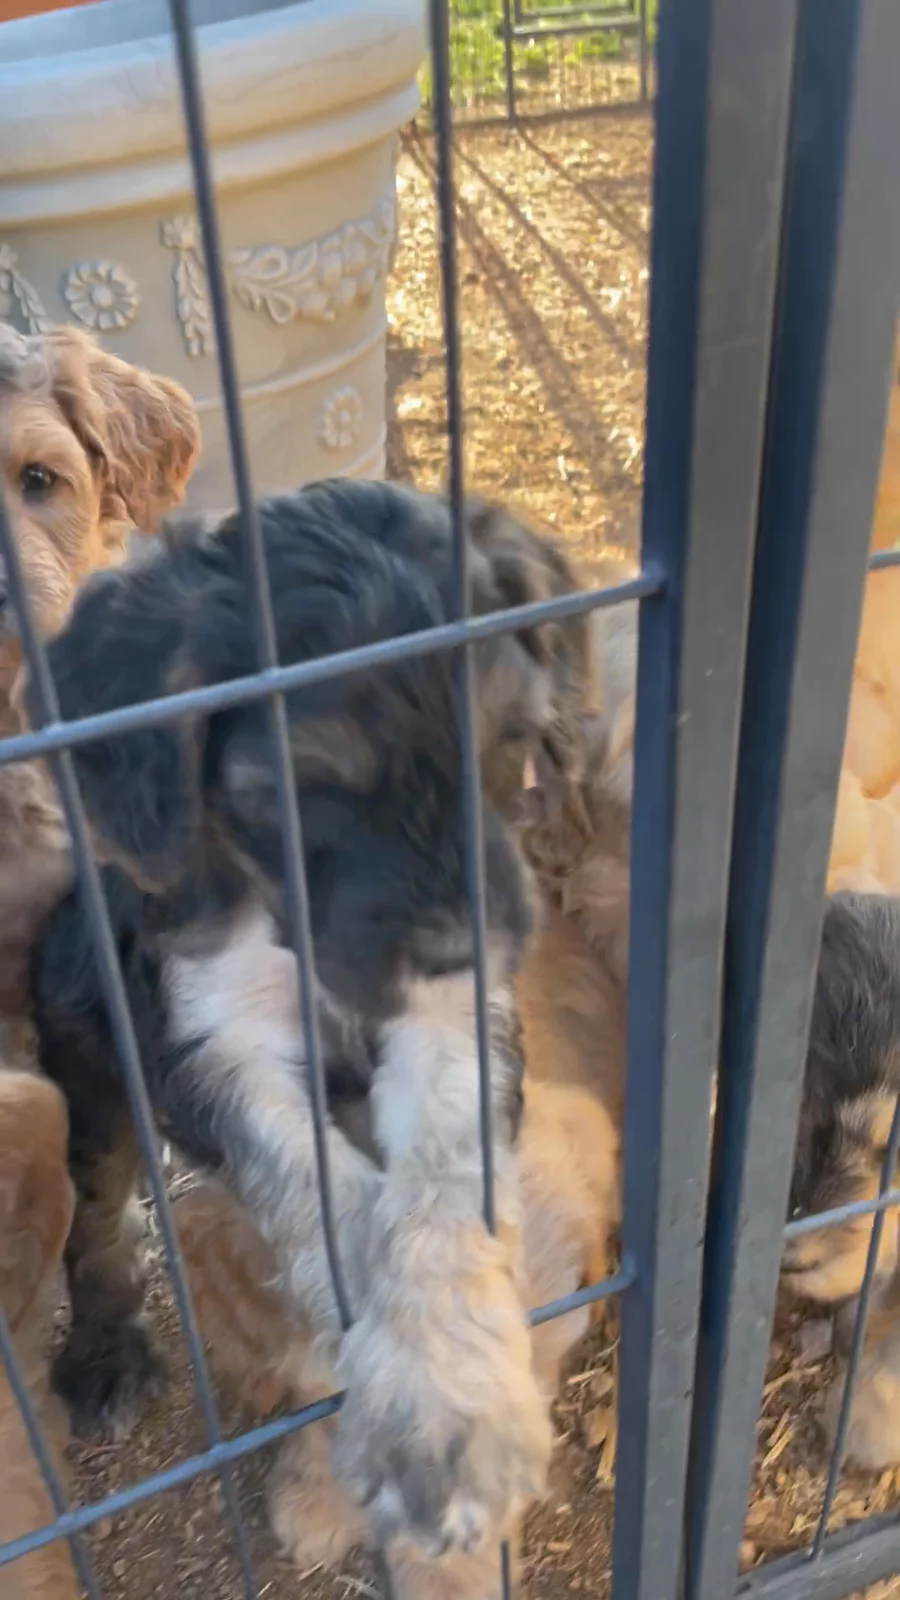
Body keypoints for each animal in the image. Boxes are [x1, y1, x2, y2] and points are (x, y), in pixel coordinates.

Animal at [30, 481, 616, 1558]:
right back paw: (106, 1355)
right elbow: (325, 1200)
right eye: (309, 788)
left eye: (511, 738)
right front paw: (412, 1410)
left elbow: (444, 1185)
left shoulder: (454, 1014)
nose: (466, 941)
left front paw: (452, 1409)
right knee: (93, 1211)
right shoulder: (213, 1040)